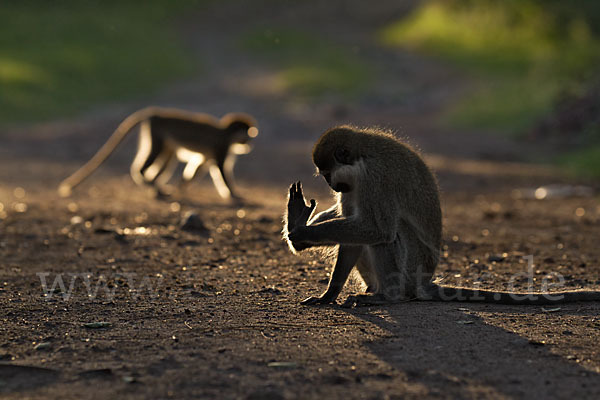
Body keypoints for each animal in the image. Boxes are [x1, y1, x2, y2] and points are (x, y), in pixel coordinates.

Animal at [284, 126, 600, 308]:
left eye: (328, 174)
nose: (332, 185)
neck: (363, 158)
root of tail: (425, 279)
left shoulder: (375, 179)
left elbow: (378, 230)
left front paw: (302, 233)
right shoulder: (356, 186)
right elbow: (354, 226)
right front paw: (328, 294)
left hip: (411, 269)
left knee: (387, 235)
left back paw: (388, 296)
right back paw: (373, 290)